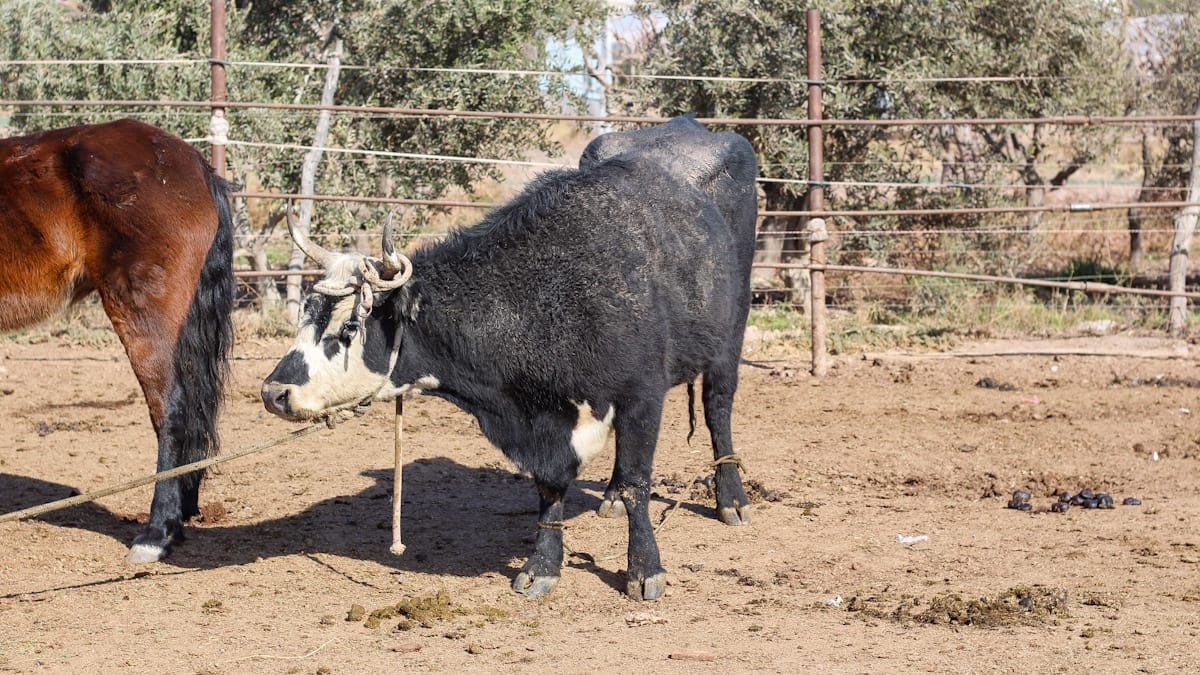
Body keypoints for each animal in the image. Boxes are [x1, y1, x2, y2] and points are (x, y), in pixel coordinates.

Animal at [260, 118, 757, 600]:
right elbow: (551, 488)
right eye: (305, 313)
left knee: (718, 409)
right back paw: (612, 497)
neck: (550, 294)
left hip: (731, 333)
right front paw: (543, 566)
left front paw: (644, 569)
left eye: (348, 328)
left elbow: (639, 483)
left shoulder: (642, 395)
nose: (273, 392)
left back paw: (731, 498)